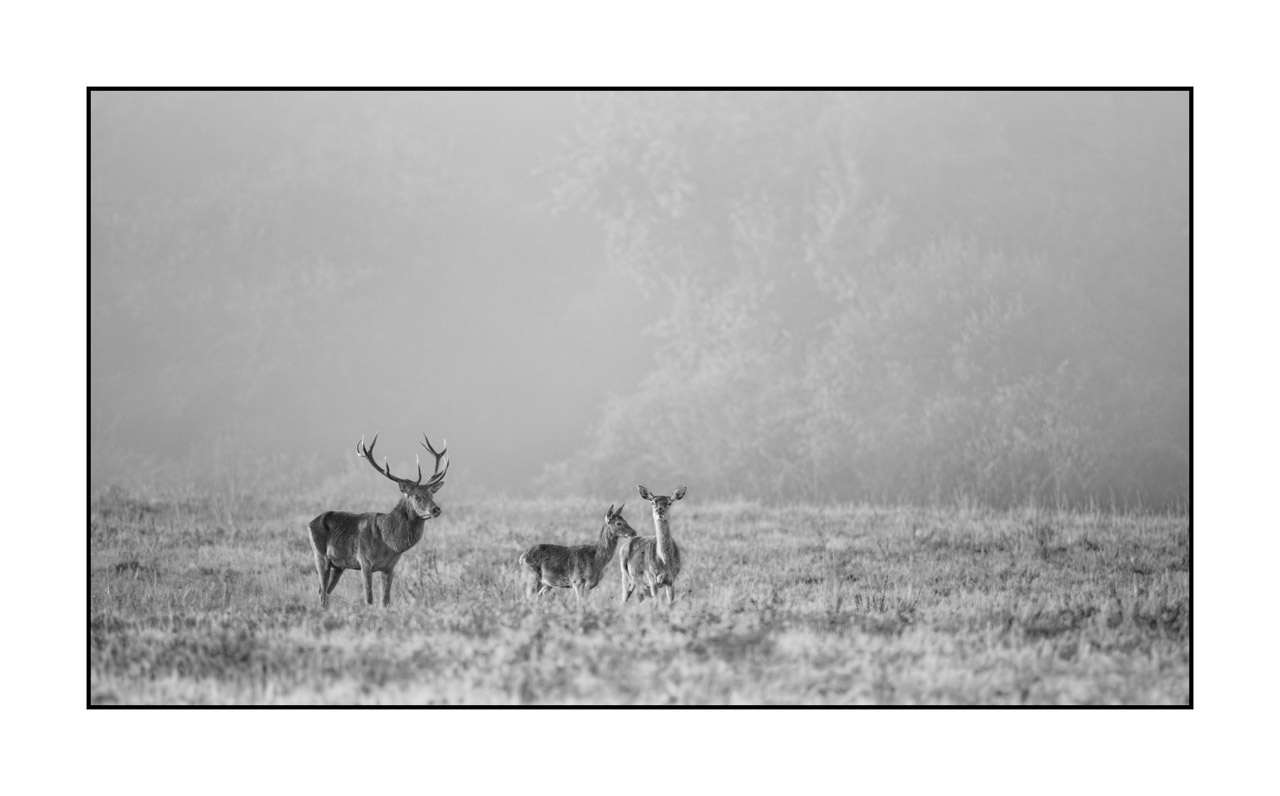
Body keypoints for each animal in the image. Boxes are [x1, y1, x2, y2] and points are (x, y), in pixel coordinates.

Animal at [307, 433, 449, 609]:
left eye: (432, 494)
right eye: (417, 496)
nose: (436, 509)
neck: (389, 542)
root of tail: (309, 523)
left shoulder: (389, 567)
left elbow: (385, 601)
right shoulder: (364, 562)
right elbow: (368, 599)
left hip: (339, 565)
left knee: (325, 592)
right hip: (320, 556)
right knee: (322, 593)